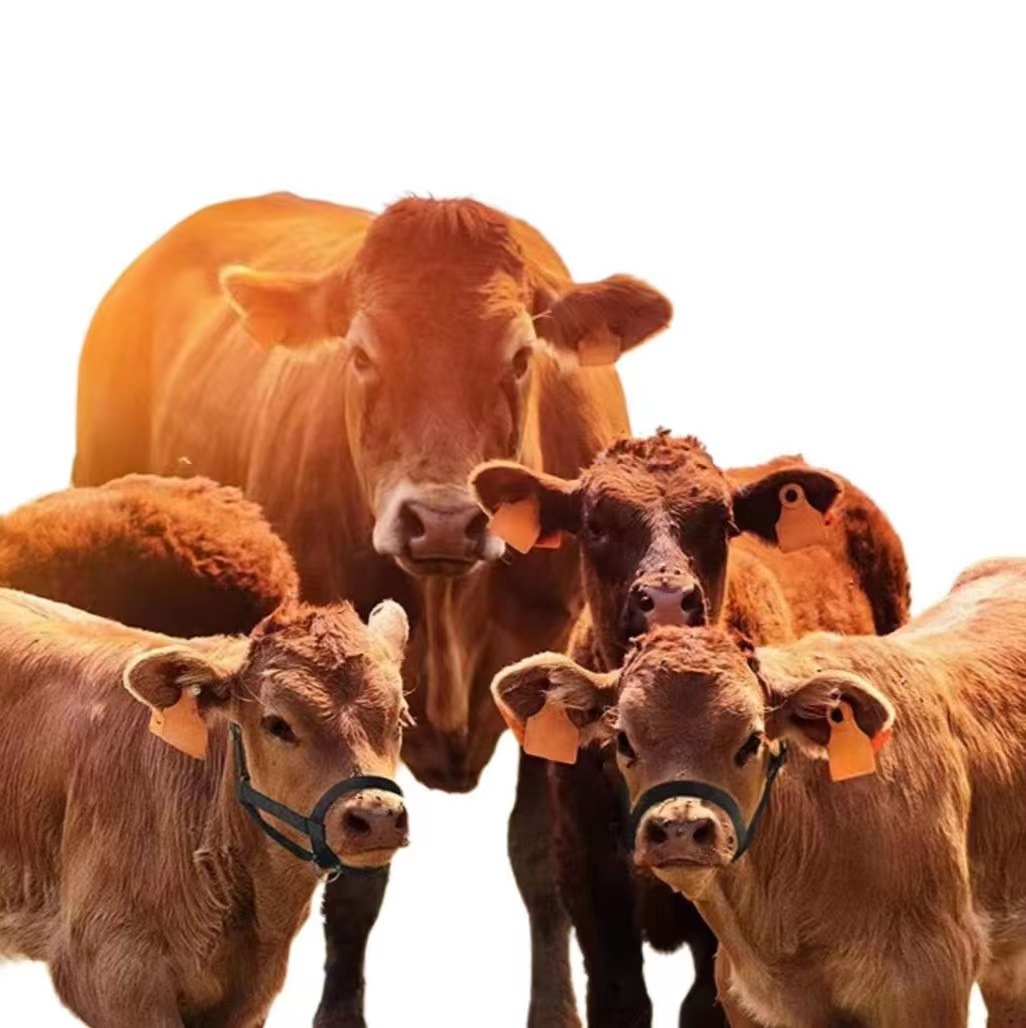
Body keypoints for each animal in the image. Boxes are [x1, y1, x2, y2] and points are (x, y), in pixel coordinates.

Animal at [472, 431, 909, 1026]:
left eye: (721, 523)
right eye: (595, 524)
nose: (667, 599)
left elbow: (704, 1006)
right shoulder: (592, 890)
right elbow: (622, 1000)